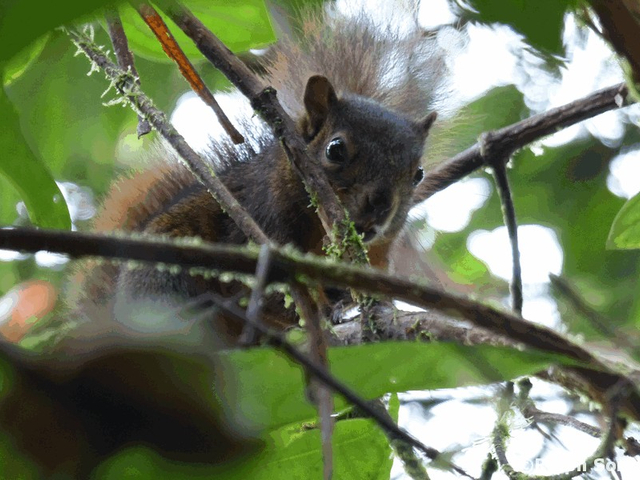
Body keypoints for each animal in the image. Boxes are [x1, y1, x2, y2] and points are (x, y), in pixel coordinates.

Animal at [67, 9, 448, 344]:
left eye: (417, 173)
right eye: (335, 149)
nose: (380, 205)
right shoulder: (260, 219)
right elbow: (277, 293)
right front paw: (319, 314)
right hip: (161, 278)